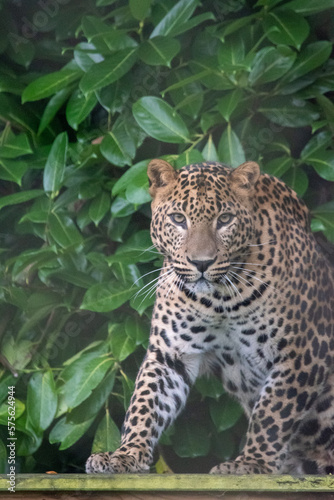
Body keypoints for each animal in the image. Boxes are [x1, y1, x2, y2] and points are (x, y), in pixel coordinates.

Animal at [85, 159, 334, 472]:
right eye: (178, 219)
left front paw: (252, 462)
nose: (201, 263)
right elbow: (146, 402)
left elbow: (272, 413)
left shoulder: (303, 352)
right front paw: (126, 455)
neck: (220, 299)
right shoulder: (170, 354)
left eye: (225, 219)